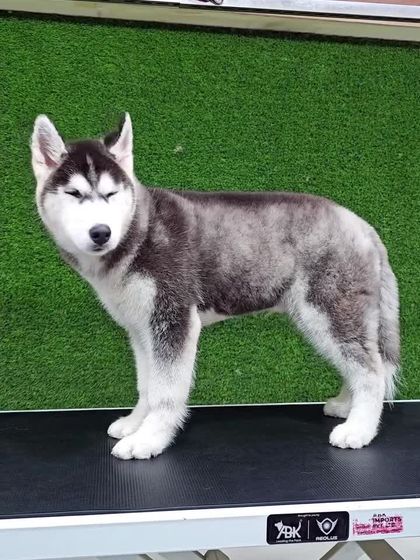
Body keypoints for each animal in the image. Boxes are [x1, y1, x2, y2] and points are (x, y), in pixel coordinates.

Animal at [31, 113, 400, 460]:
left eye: (110, 194)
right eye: (74, 194)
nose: (101, 232)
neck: (139, 232)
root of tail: (362, 225)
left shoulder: (174, 319)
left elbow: (165, 390)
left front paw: (150, 438)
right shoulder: (141, 327)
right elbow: (147, 385)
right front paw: (135, 423)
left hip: (330, 312)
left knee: (372, 372)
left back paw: (359, 429)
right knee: (361, 364)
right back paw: (347, 406)